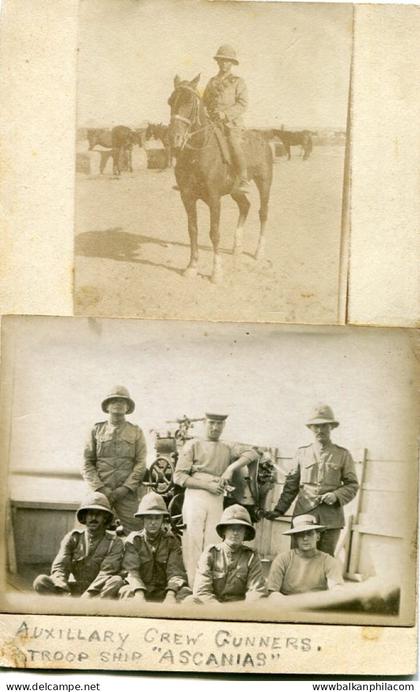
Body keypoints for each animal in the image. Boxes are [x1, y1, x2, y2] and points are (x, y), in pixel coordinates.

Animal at [167, 73, 272, 284]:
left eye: (189, 101)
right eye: (170, 101)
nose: (174, 138)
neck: (197, 153)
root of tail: (264, 139)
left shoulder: (214, 199)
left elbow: (214, 232)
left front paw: (216, 272)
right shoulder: (187, 197)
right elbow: (193, 230)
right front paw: (192, 267)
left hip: (264, 183)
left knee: (263, 212)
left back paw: (259, 251)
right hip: (235, 191)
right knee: (245, 206)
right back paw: (237, 247)